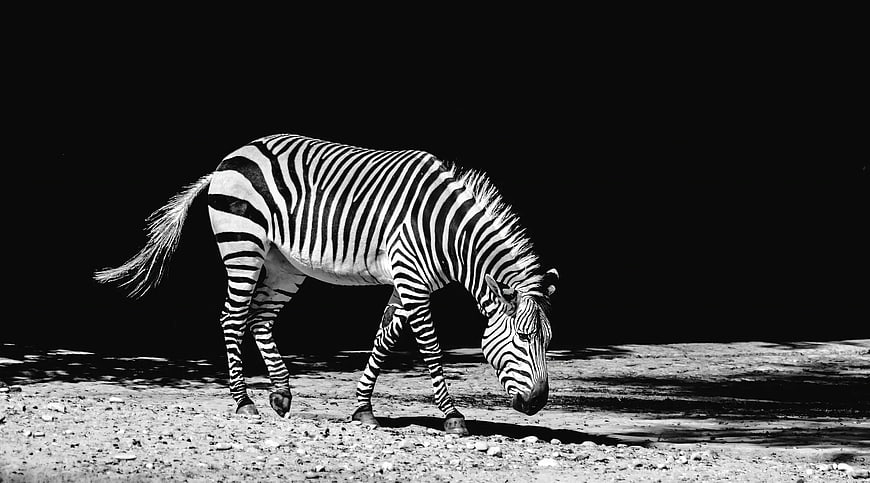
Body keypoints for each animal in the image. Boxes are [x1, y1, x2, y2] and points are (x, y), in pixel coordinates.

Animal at [94, 134, 558, 435]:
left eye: (547, 341)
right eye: (521, 338)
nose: (538, 404)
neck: (447, 232)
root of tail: (232, 156)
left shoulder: (407, 281)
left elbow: (385, 339)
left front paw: (363, 408)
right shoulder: (411, 278)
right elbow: (429, 347)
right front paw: (452, 416)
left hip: (284, 262)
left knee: (260, 320)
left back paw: (280, 395)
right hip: (242, 244)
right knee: (232, 317)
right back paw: (243, 402)